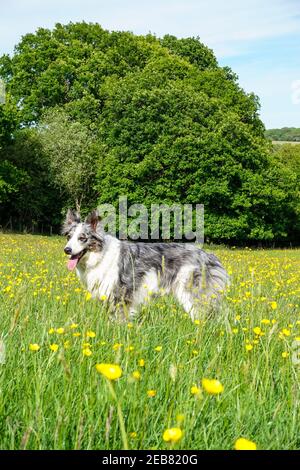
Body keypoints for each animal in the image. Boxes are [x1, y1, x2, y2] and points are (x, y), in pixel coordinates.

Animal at [62, 208, 229, 320]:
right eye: (69, 237)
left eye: (82, 238)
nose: (67, 250)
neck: (101, 255)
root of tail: (207, 255)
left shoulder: (121, 296)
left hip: (190, 294)